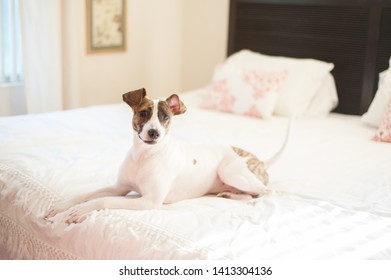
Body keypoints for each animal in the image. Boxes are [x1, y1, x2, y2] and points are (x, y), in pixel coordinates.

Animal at [46, 87, 290, 223]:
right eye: (144, 113)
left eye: (165, 117)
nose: (154, 133)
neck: (144, 156)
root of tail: (258, 160)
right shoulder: (119, 187)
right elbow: (86, 194)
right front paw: (61, 206)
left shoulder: (149, 201)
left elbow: (103, 200)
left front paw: (78, 212)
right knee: (252, 194)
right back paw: (230, 195)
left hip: (231, 172)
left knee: (267, 192)